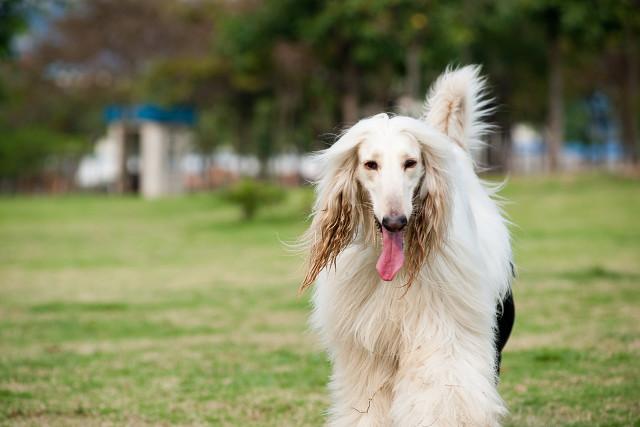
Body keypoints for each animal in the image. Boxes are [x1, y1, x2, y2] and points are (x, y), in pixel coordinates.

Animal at [300, 65, 516, 426]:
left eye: (410, 162)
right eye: (370, 164)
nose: (395, 221)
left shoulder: (443, 333)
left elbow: (442, 394)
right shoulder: (369, 350)